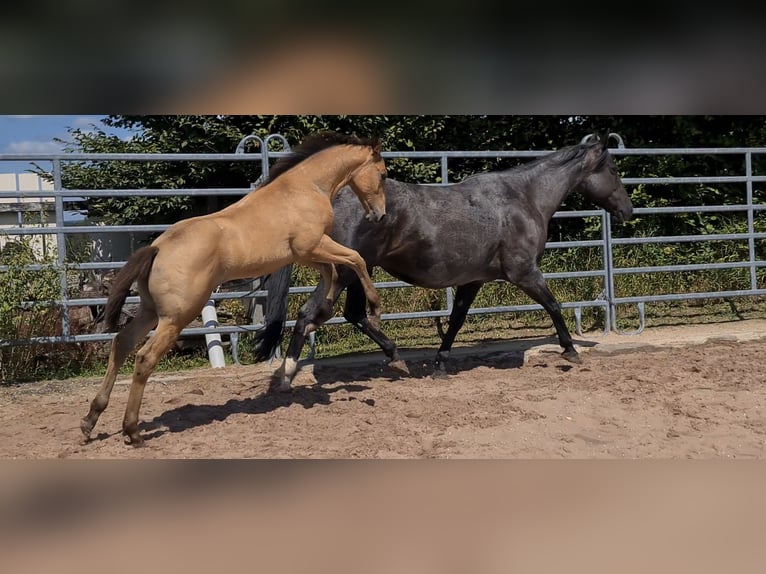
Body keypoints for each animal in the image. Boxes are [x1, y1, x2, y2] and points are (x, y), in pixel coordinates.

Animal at [255, 134, 632, 392]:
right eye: (613, 169)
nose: (627, 211)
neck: (522, 199)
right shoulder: (524, 272)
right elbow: (554, 305)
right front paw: (570, 351)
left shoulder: (473, 280)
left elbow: (455, 320)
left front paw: (439, 365)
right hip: (345, 271)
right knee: (311, 314)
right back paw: (286, 378)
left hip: (360, 270)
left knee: (353, 314)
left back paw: (395, 358)